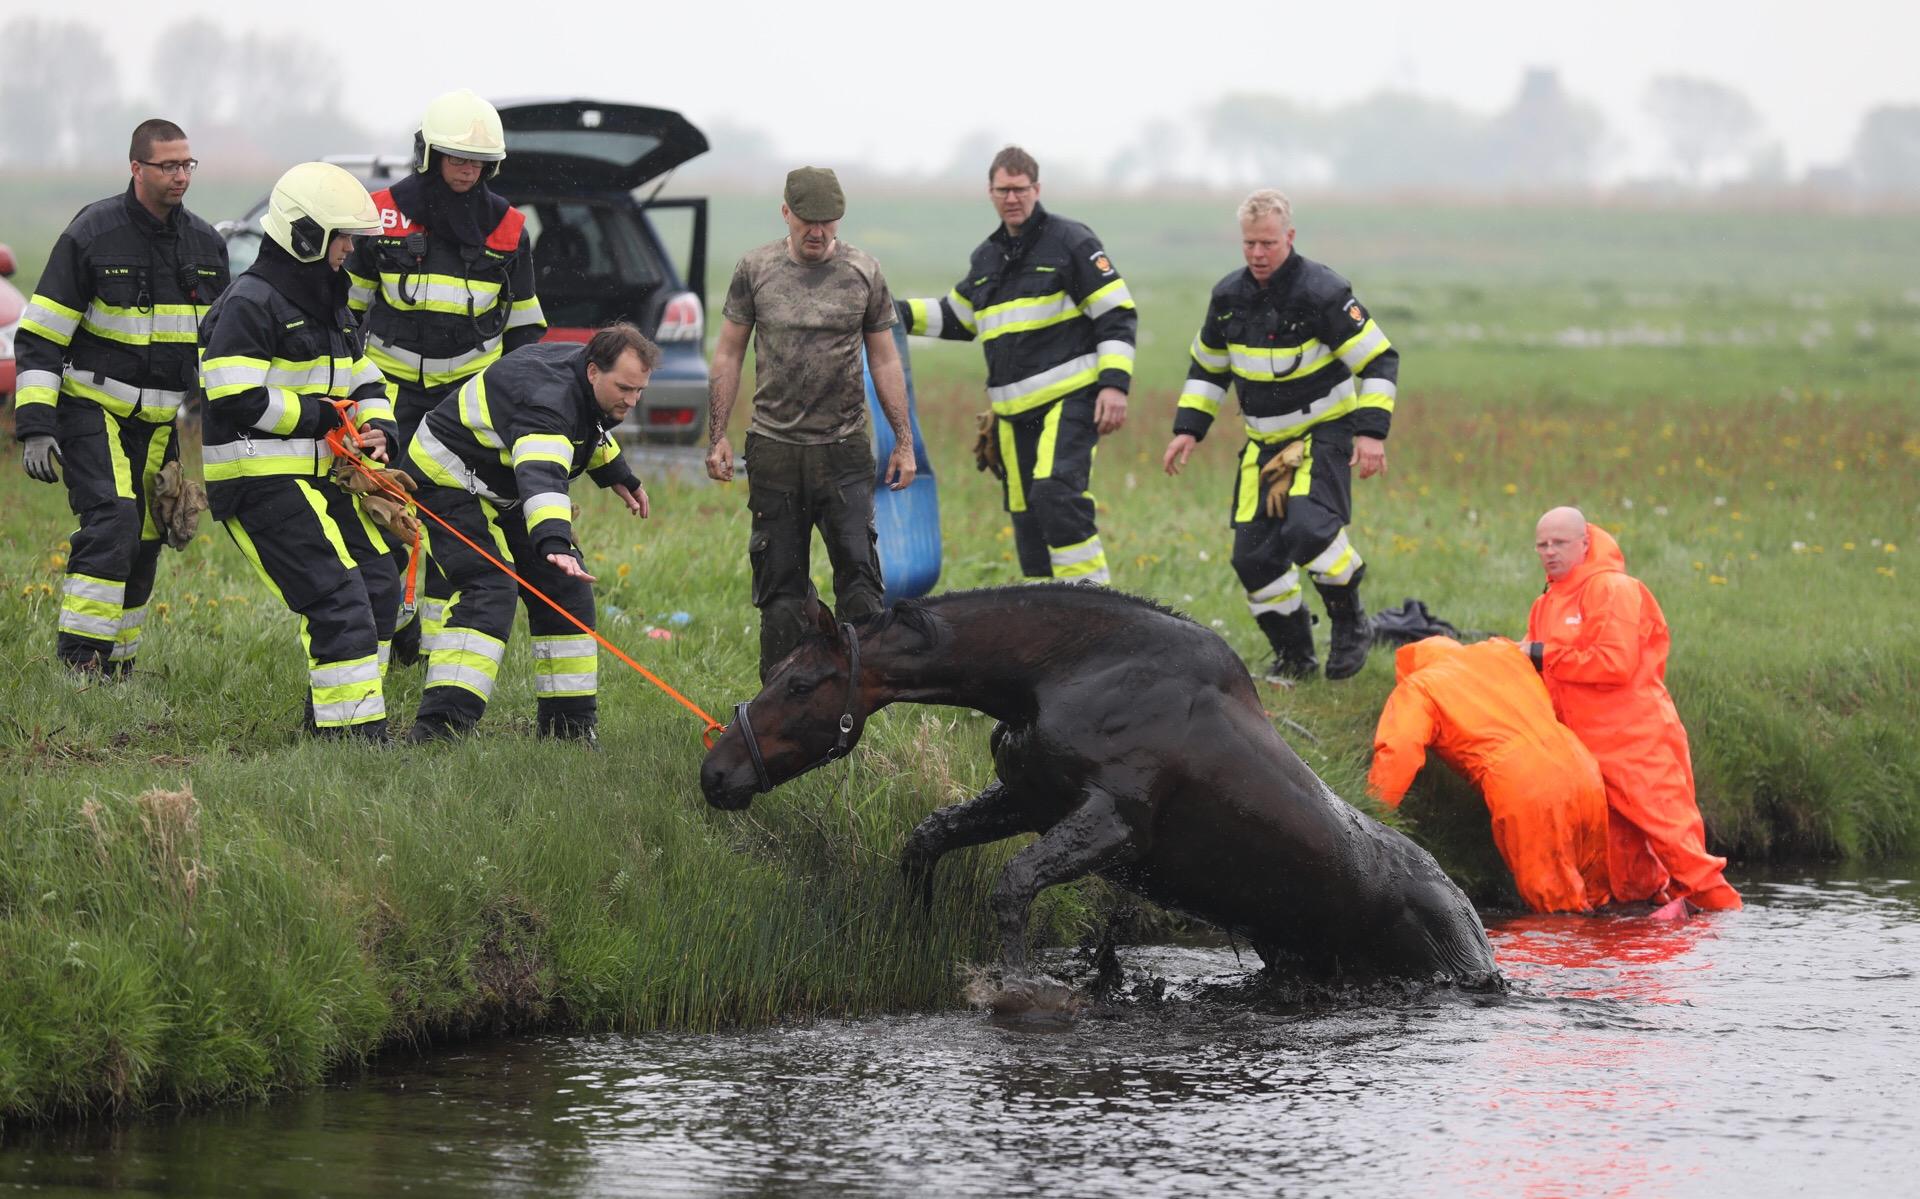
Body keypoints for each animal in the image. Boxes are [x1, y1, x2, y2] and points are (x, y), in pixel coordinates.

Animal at [700, 586, 1500, 989]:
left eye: (799, 683)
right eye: (776, 672)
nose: (715, 773)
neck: (1053, 672)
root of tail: (1457, 894)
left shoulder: (1116, 820)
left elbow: (1014, 885)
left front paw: (1017, 984)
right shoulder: (1030, 798)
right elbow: (927, 838)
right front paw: (915, 924)